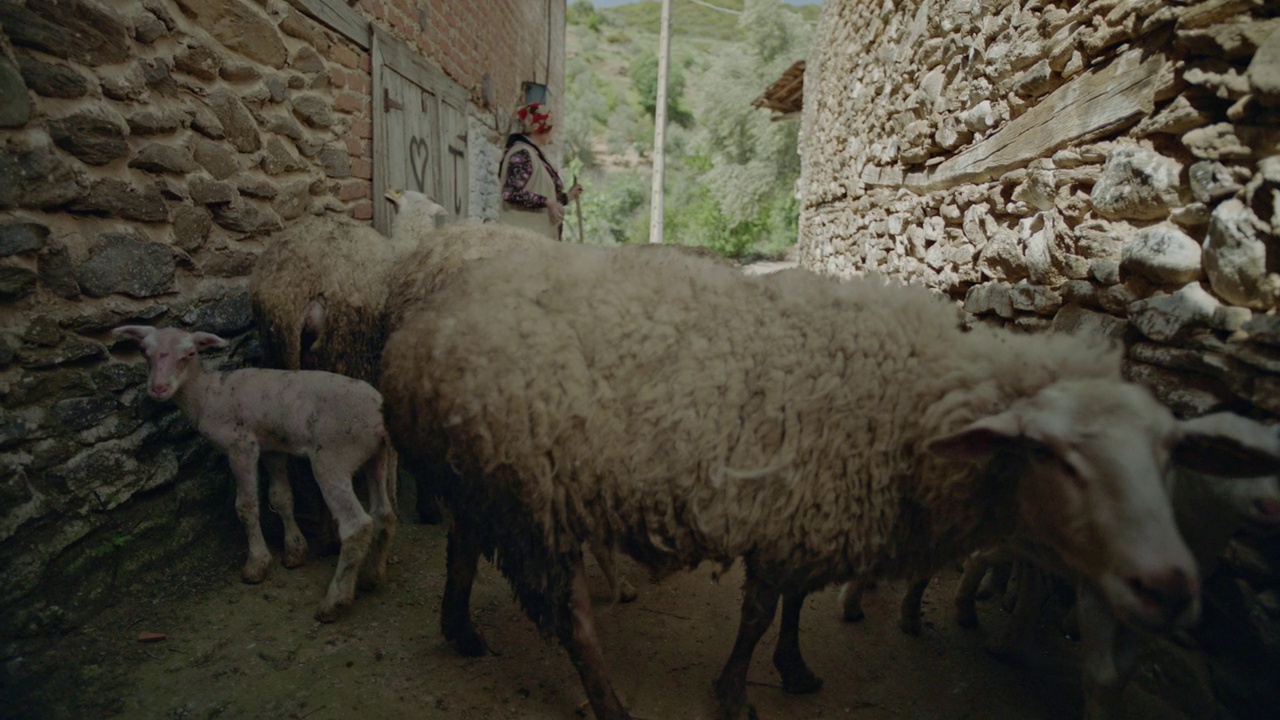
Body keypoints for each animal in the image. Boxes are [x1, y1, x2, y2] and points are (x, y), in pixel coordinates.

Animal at [113, 322, 396, 620]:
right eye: (144, 351)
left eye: (189, 353)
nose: (159, 388)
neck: (208, 394)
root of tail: (379, 414)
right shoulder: (271, 446)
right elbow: (281, 497)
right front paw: (294, 551)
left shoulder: (241, 445)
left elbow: (246, 506)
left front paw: (257, 565)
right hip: (377, 456)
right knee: (384, 514)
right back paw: (372, 577)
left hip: (334, 455)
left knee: (357, 524)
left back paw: (335, 601)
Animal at [376, 238, 1280, 712]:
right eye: (1053, 453)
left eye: (1168, 455)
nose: (1170, 586)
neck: (917, 400)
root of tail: (423, 326)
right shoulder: (793, 509)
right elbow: (759, 613)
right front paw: (738, 689)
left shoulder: (810, 513)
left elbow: (793, 608)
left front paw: (794, 669)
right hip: (530, 496)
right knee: (569, 617)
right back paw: (608, 701)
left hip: (484, 474)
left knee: (462, 544)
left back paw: (459, 626)